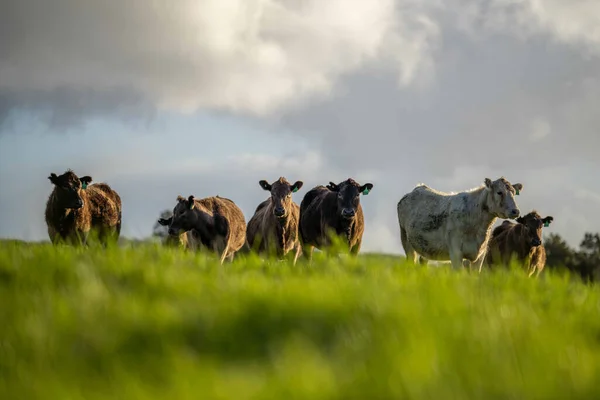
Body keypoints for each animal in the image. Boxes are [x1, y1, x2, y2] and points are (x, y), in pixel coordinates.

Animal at [396, 177, 524, 270]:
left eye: (513, 193)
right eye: (499, 192)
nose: (516, 211)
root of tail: (418, 188)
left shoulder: (480, 256)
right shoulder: (455, 252)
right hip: (405, 239)